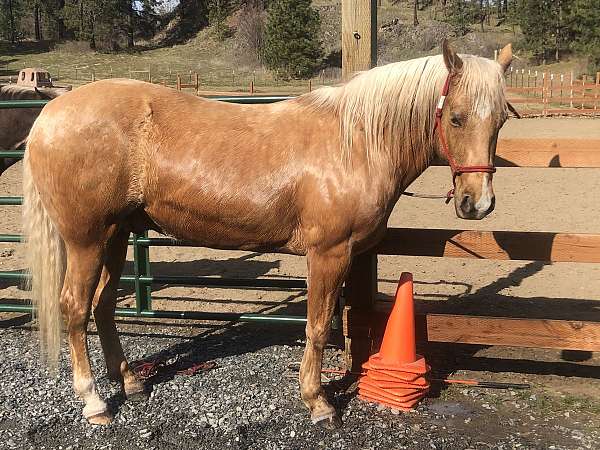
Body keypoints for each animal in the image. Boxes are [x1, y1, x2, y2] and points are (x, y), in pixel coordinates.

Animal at [23, 41, 510, 428]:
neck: (355, 142)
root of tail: (50, 114)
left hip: (117, 235)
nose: (478, 203)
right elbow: (318, 325)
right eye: (457, 118)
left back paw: (130, 382)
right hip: (86, 239)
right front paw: (319, 402)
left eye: (501, 120)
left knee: (103, 305)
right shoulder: (329, 253)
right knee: (75, 308)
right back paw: (94, 402)